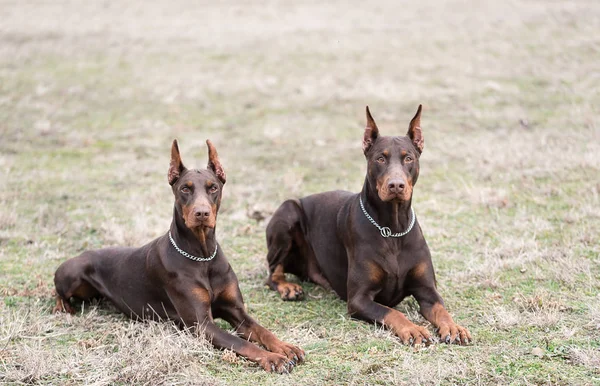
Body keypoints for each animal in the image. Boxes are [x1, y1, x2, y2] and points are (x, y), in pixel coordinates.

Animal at [54, 139, 304, 370]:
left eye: (213, 187)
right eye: (185, 188)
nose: (201, 213)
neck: (202, 256)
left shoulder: (236, 311)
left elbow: (262, 331)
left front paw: (285, 347)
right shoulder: (201, 324)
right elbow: (243, 343)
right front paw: (273, 358)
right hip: (72, 272)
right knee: (59, 292)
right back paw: (62, 308)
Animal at [268, 106, 474, 346]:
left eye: (408, 158)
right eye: (380, 158)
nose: (396, 185)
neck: (393, 229)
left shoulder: (427, 291)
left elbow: (441, 309)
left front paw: (453, 327)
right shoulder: (359, 299)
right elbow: (392, 312)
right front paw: (413, 329)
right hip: (288, 211)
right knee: (272, 270)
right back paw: (288, 287)